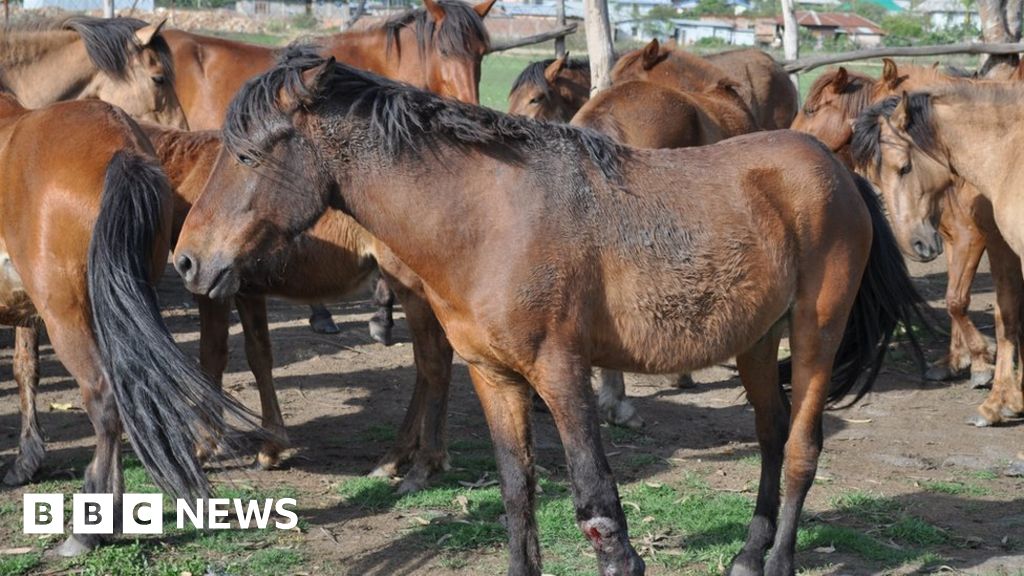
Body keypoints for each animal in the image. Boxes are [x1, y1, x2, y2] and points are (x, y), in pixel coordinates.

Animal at [0, 91, 257, 555]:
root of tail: (120, 146)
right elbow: (25, 369)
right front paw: (26, 459)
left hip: (69, 315)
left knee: (103, 400)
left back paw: (87, 528)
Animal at [171, 54, 926, 576]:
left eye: (248, 154)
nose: (186, 261)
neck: (485, 219)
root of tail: (836, 170)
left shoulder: (561, 371)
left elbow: (599, 510)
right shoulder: (494, 375)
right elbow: (517, 494)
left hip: (816, 332)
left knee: (800, 449)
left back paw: (778, 560)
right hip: (756, 342)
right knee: (771, 438)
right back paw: (747, 553)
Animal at [853, 86, 1024, 428]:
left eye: (904, 167)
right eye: (875, 180)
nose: (915, 244)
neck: (1009, 158)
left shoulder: (990, 242)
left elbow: (1004, 315)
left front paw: (996, 401)